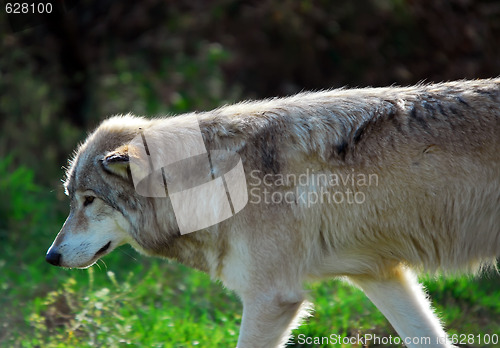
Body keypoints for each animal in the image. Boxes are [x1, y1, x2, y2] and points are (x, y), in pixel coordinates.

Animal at [47, 79, 500, 348]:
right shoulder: (380, 275)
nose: (50, 256)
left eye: (88, 200)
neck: (214, 181)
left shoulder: (272, 298)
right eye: (70, 198)